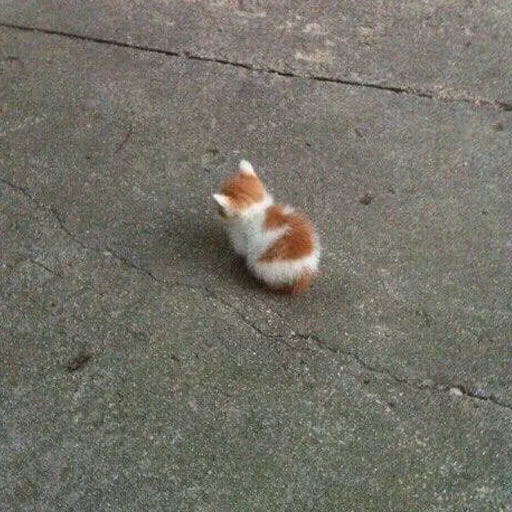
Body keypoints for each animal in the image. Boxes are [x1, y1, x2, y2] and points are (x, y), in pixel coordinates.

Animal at [213, 160, 320, 294]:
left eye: (220, 209)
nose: (216, 212)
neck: (258, 208)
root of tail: (303, 273)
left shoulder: (242, 238)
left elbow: (241, 249)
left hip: (265, 267)